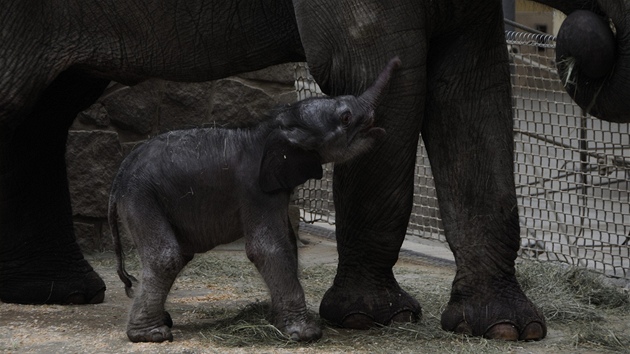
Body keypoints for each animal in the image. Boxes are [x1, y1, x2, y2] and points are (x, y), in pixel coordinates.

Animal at [110, 58, 400, 342]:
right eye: (346, 117)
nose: (396, 61)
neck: (272, 127)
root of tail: (120, 174)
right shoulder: (255, 190)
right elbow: (267, 247)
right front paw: (306, 333)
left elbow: (289, 245)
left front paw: (277, 321)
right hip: (141, 198)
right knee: (167, 257)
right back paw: (152, 334)